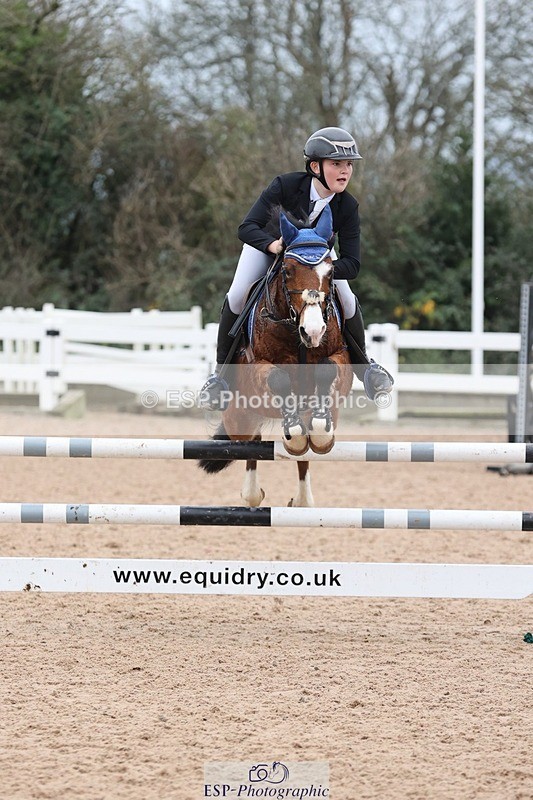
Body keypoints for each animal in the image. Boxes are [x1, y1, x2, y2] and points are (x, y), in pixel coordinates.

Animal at [198, 205, 353, 507]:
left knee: (302, 457)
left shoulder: (341, 358)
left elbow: (325, 371)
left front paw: (320, 430)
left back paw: (303, 497)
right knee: (250, 444)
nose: (313, 330)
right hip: (239, 415)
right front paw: (293, 433)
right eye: (288, 270)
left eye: (331, 273)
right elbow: (279, 380)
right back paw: (252, 492)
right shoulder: (258, 367)